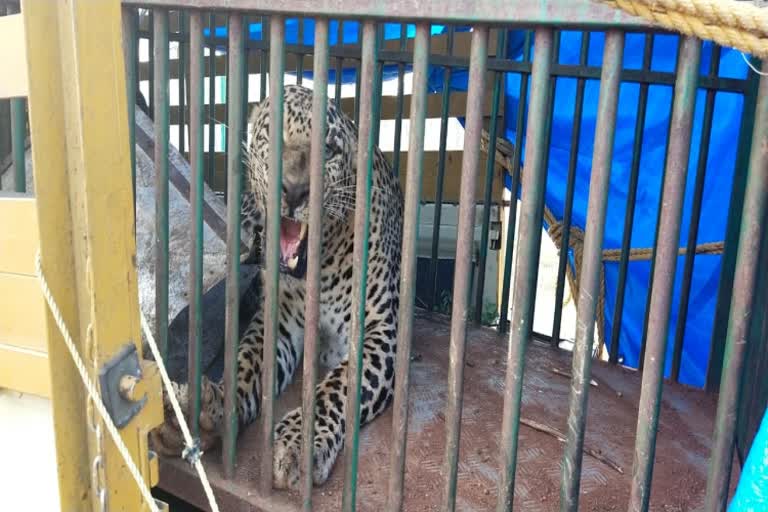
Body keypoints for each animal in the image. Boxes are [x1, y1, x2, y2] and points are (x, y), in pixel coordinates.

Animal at [147, 82, 404, 490]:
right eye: (273, 136)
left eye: (328, 148)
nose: (295, 190)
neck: (321, 265)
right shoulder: (279, 321)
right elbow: (246, 362)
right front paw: (209, 408)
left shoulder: (377, 332)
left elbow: (337, 387)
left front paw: (301, 442)